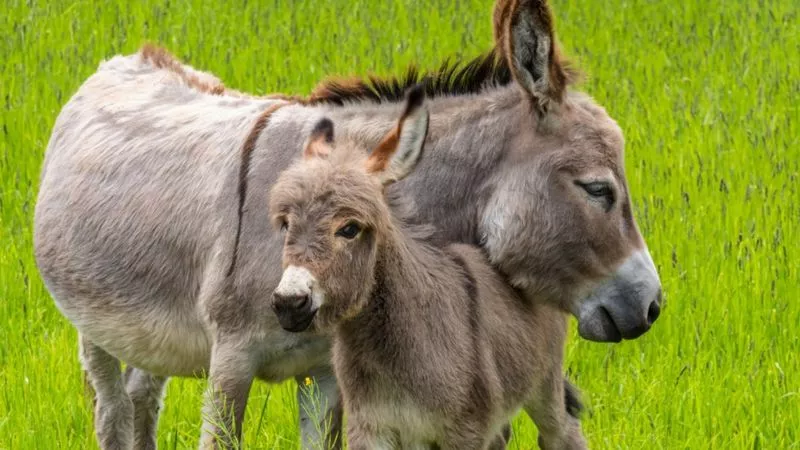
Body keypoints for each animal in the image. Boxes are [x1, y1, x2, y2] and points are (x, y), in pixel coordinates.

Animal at [268, 86, 588, 448]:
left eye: (349, 228)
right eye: (286, 224)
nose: (289, 303)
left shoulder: (463, 431)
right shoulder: (371, 428)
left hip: (544, 382)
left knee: (562, 431)